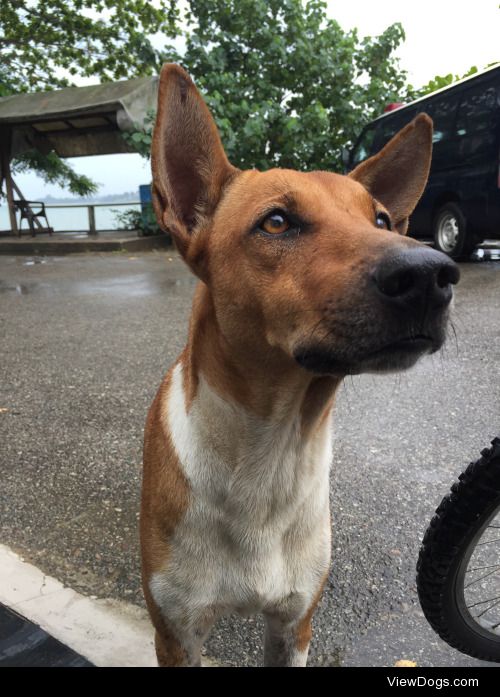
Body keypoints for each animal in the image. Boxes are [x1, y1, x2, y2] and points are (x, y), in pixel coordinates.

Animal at [141, 66, 460, 668]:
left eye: (383, 219)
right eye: (276, 222)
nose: (432, 273)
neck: (268, 458)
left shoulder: (295, 624)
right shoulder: (177, 632)